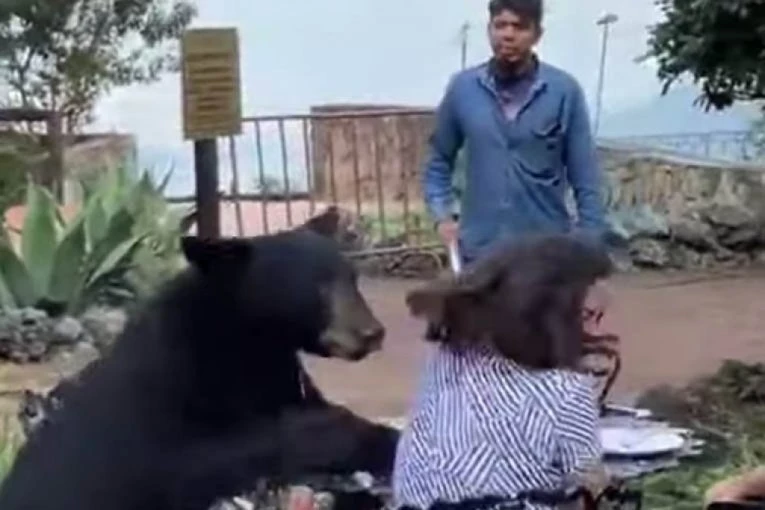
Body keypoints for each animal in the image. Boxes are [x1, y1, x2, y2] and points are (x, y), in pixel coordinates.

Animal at [0, 207, 402, 510]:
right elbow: (195, 460)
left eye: (351, 278)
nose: (373, 332)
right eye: (317, 286)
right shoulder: (167, 393)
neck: (249, 339)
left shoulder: (277, 371)